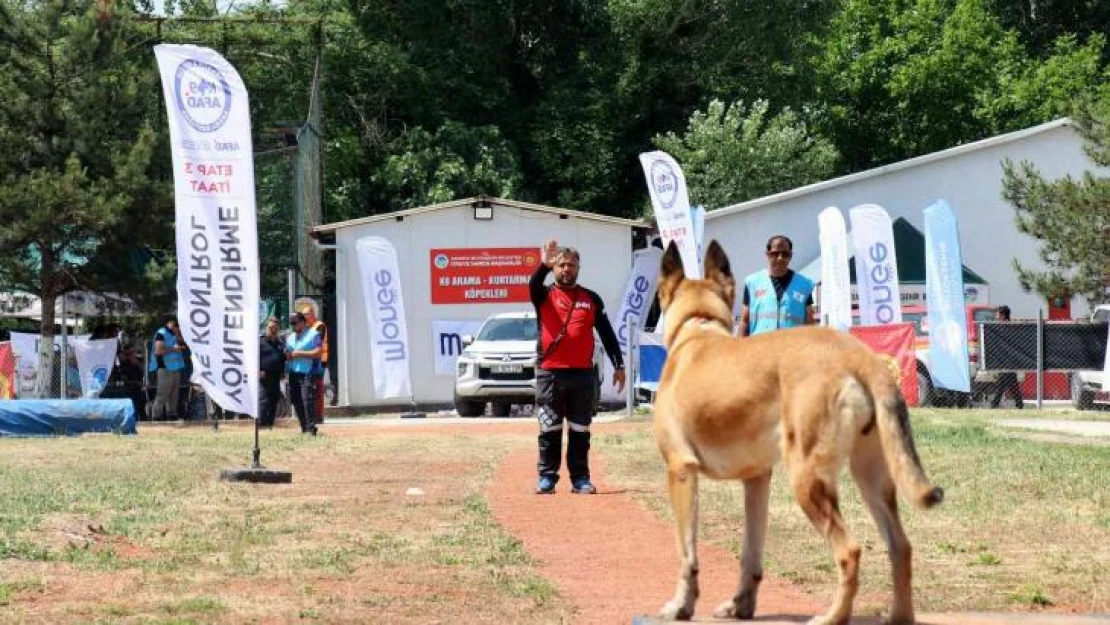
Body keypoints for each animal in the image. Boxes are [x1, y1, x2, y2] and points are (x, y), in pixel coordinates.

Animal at [652, 240, 941, 625]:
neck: (698, 326)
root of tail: (860, 356)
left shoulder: (681, 472)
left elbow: (686, 554)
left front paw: (680, 606)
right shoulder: (757, 480)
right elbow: (751, 553)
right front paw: (741, 605)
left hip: (807, 479)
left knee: (850, 551)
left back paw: (832, 617)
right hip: (872, 477)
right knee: (901, 546)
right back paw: (899, 616)